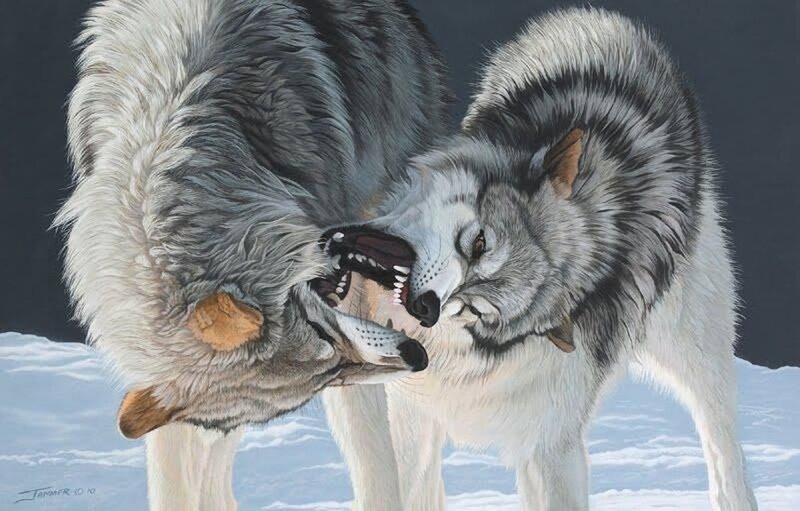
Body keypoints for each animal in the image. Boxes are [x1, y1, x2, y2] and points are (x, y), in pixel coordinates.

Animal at [324, 8, 758, 510]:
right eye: (479, 244)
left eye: (476, 309)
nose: (426, 306)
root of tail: (618, 27)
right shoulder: (405, 410)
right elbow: (397, 484)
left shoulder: (550, 443)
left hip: (693, 353)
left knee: (722, 442)